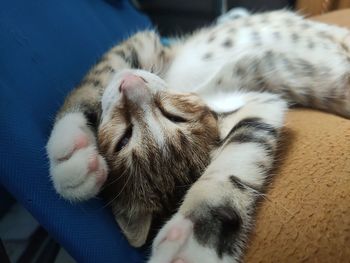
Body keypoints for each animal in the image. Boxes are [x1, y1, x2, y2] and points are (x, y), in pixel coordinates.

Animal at [47, 9, 350, 263]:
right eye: (124, 137)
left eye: (174, 116)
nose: (129, 84)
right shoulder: (258, 100)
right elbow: (94, 82)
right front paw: (71, 147)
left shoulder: (256, 103)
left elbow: (236, 162)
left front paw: (196, 239)